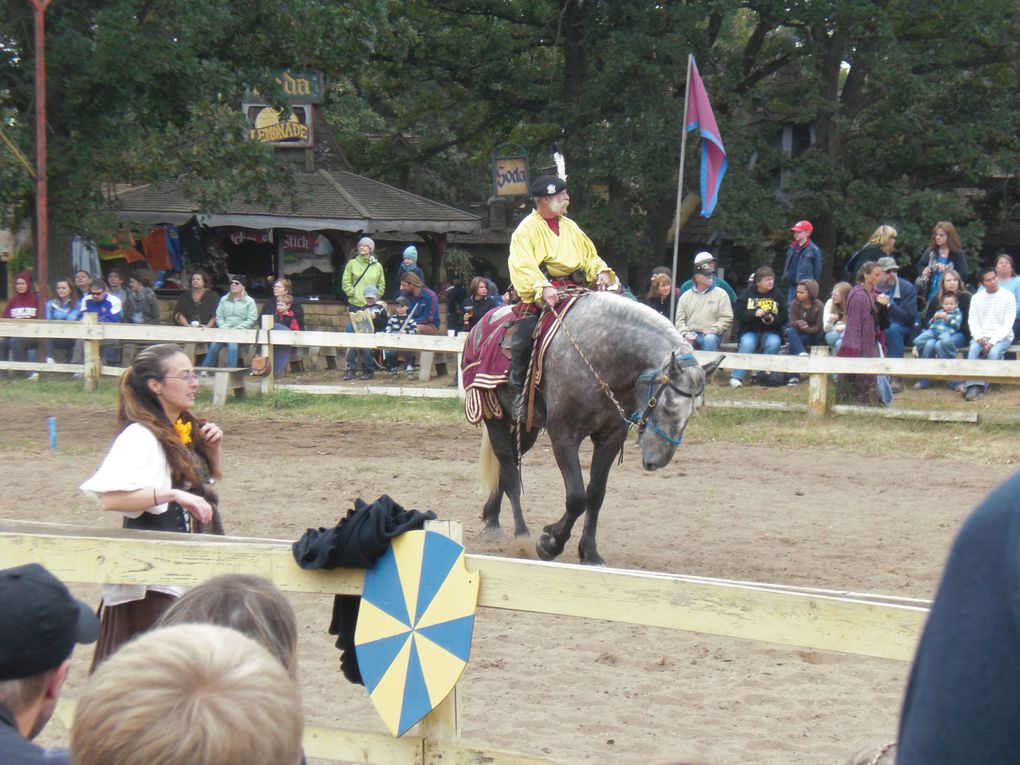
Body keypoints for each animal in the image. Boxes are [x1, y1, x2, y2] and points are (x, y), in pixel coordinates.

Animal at [473, 293, 722, 571]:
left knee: (507, 467)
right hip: (495, 419)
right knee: (509, 470)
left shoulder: (610, 438)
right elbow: (576, 497)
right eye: (668, 407)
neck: (604, 357)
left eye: (692, 413)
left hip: (527, 428)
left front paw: (589, 552)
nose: (658, 461)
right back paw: (520, 534)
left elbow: (595, 494)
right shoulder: (563, 436)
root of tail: (481, 324)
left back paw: (492, 519)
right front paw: (550, 543)